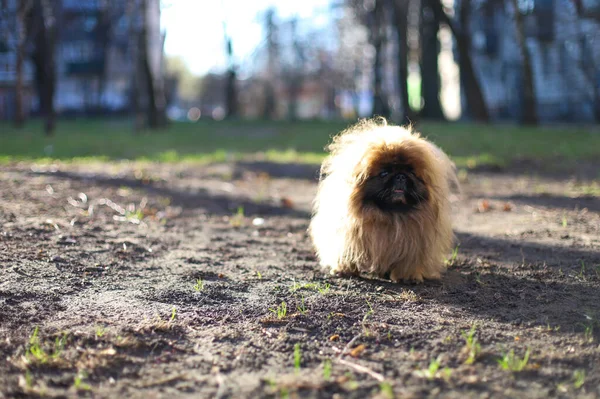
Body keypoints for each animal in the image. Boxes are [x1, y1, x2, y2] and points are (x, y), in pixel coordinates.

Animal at [310, 117, 460, 282]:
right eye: (384, 173)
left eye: (411, 172)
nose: (400, 176)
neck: (392, 215)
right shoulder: (347, 235)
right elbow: (346, 253)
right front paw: (344, 270)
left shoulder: (414, 244)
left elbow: (408, 262)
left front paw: (407, 277)